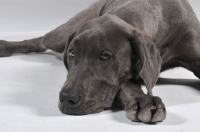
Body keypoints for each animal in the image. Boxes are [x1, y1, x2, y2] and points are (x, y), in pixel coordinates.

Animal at [0, 0, 200, 124]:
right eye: (72, 52)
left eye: (105, 56)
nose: (67, 98)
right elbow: (126, 83)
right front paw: (143, 100)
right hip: (61, 35)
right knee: (41, 41)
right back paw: (5, 46)